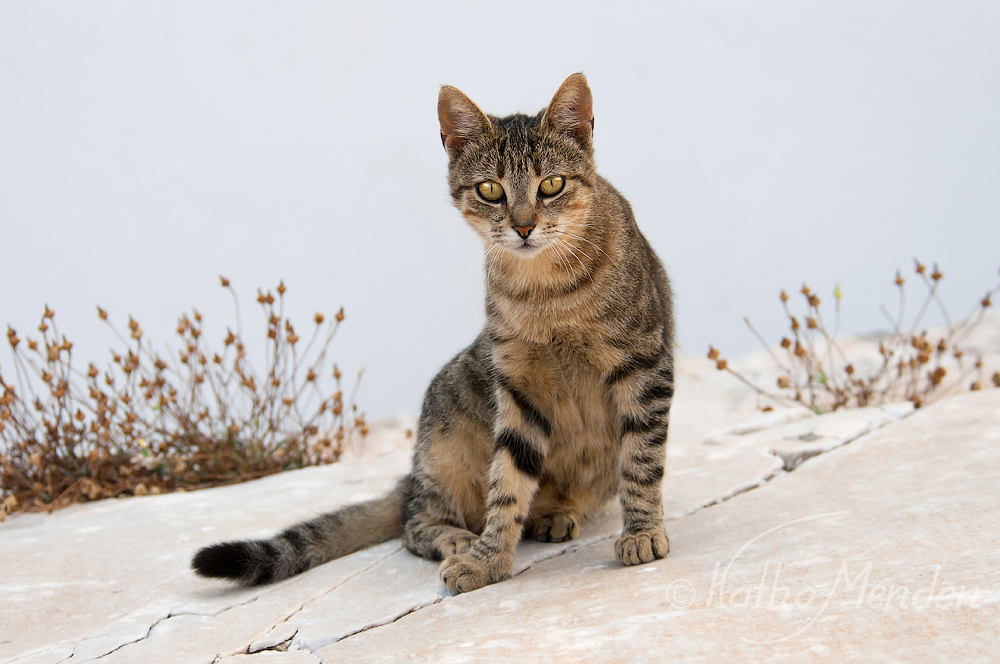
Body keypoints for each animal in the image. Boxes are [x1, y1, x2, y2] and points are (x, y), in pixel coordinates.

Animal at [191, 75, 676, 592]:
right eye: (490, 190)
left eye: (552, 184)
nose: (523, 226)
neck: (547, 291)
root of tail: (411, 472)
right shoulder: (519, 387)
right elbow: (506, 484)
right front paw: (487, 560)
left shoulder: (645, 369)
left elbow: (641, 463)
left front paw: (642, 532)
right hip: (446, 434)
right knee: (414, 523)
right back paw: (459, 539)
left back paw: (554, 514)